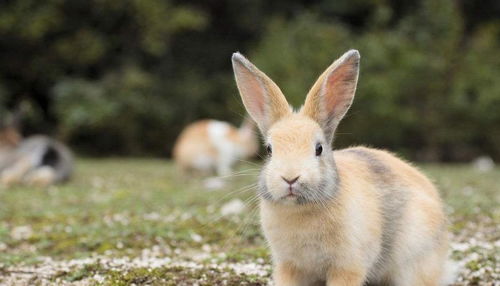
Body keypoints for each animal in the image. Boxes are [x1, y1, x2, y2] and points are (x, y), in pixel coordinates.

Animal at [230, 50, 454, 284]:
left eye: (319, 148)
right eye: (269, 150)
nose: (290, 178)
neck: (301, 209)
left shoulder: (347, 267)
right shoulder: (289, 267)